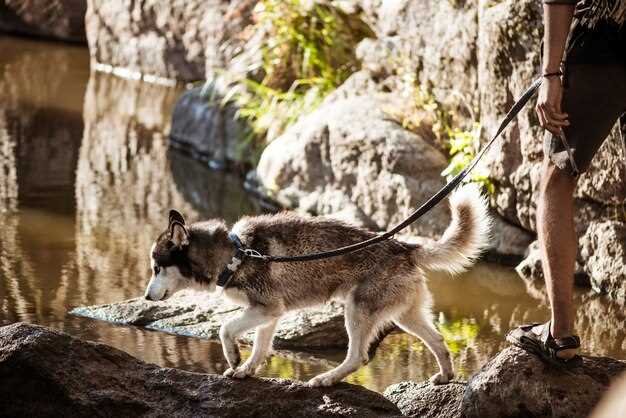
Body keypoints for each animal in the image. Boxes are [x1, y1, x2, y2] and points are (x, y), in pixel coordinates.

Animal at [145, 185, 488, 386]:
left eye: (157, 268)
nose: (147, 296)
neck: (234, 253)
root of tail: (404, 246)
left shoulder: (265, 309)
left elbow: (225, 328)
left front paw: (233, 357)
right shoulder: (269, 314)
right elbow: (260, 347)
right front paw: (246, 369)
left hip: (357, 310)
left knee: (358, 357)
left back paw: (326, 379)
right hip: (405, 315)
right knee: (439, 341)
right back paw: (445, 375)